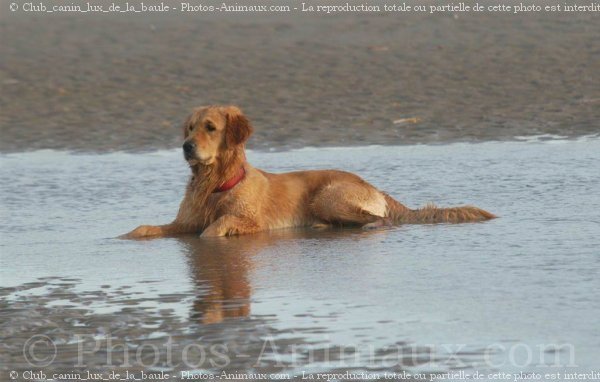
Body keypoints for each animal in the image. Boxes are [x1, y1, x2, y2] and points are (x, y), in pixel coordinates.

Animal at [120, 103, 492, 237]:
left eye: (210, 127)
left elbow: (214, 228)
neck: (214, 185)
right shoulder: (185, 221)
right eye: (189, 128)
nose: (186, 146)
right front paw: (123, 237)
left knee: (379, 219)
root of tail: (376, 187)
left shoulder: (249, 221)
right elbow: (145, 228)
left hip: (327, 196)